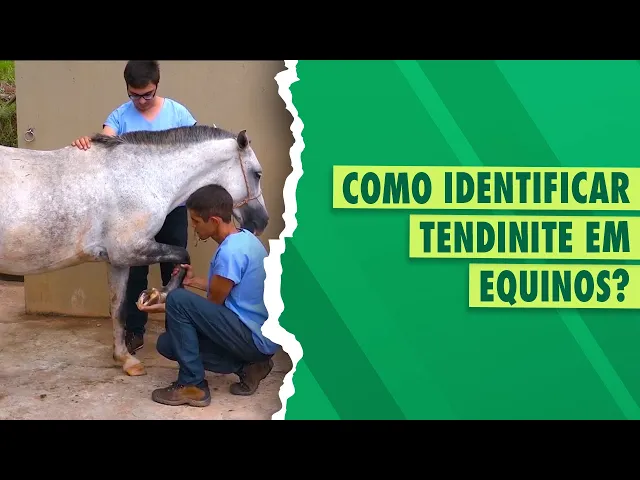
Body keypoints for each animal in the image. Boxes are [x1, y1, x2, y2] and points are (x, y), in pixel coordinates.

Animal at [0, 124, 269, 377]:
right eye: (257, 174)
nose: (261, 222)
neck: (141, 176)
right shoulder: (130, 250)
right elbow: (183, 255)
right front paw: (158, 296)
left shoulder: (117, 261)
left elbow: (118, 308)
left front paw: (125, 359)